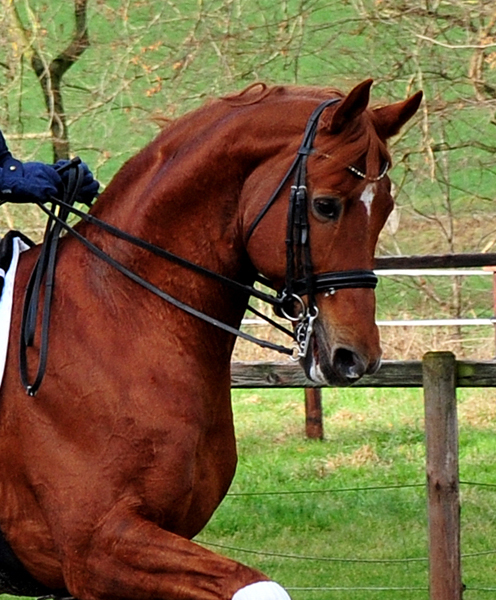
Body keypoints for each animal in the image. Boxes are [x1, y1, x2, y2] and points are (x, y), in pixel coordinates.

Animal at [0, 81, 422, 600]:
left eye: (384, 208)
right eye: (326, 205)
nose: (356, 358)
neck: (122, 314)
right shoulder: (95, 547)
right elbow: (261, 588)